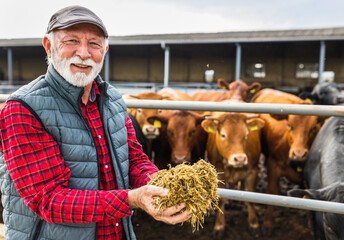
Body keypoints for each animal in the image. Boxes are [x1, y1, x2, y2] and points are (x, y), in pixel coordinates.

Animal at [250, 88, 326, 236]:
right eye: (289, 125)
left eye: (314, 128)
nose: (299, 154)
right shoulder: (273, 164)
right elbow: (272, 191)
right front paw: (268, 223)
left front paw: (310, 222)